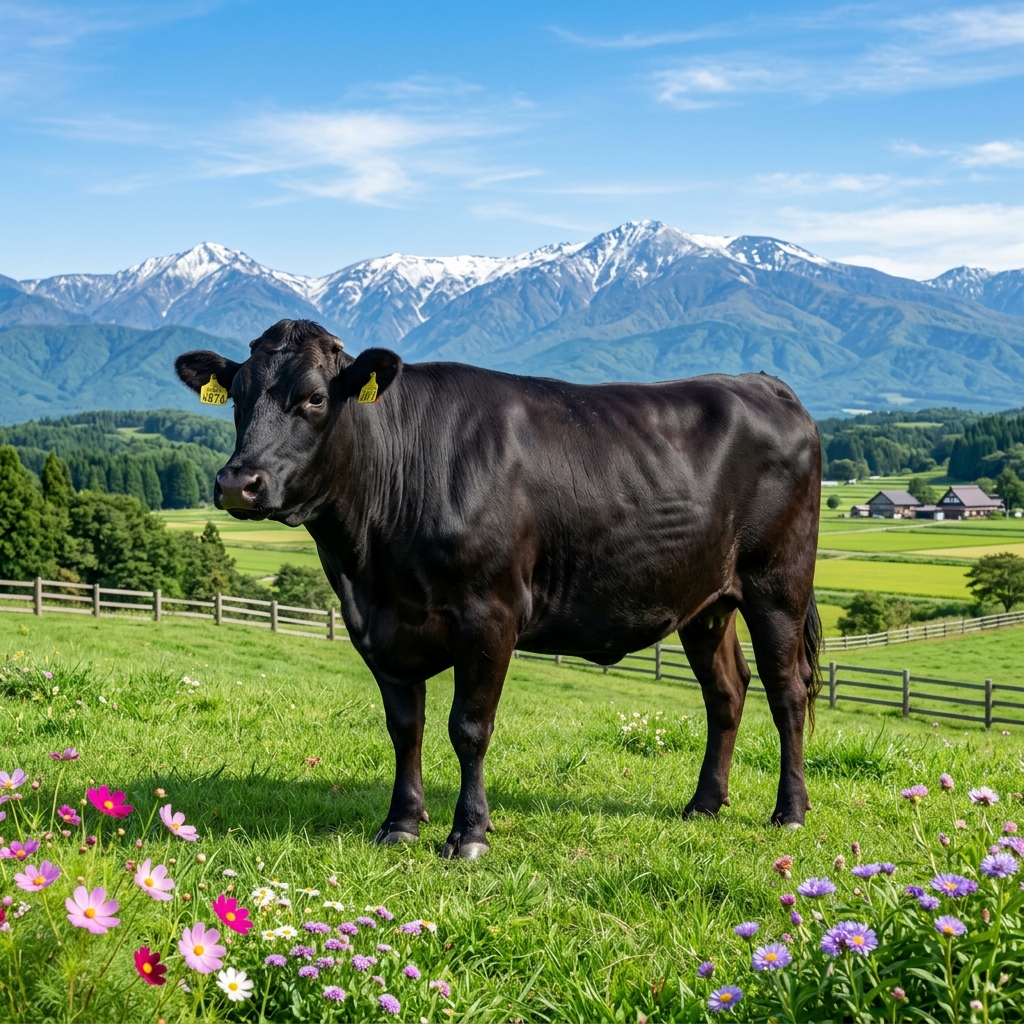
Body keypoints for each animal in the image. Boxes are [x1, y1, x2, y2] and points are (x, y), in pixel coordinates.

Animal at [176, 319, 822, 859]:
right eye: (236, 397)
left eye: (313, 397)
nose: (238, 482)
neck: (370, 563)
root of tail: (764, 383)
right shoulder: (381, 628)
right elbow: (404, 727)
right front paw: (400, 824)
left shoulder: (489, 615)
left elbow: (468, 727)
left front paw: (469, 834)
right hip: (706, 600)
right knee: (727, 691)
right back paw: (704, 804)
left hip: (778, 583)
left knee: (787, 691)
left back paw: (789, 811)